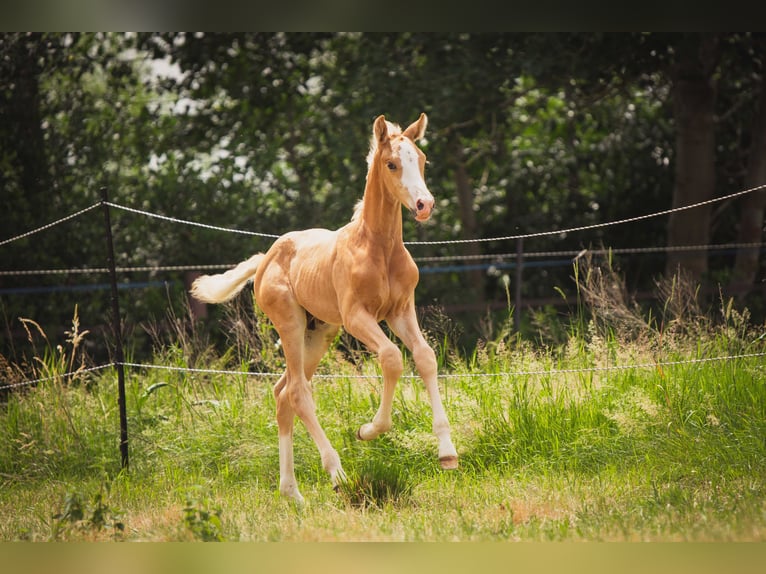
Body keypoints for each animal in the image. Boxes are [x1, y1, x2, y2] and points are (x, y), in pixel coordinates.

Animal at [190, 113, 458, 503]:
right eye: (391, 164)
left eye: (421, 160)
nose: (424, 205)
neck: (378, 247)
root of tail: (265, 258)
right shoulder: (356, 316)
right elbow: (392, 357)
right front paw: (369, 429)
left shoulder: (401, 311)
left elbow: (425, 358)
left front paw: (447, 452)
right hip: (290, 323)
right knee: (298, 393)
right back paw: (338, 475)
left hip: (319, 333)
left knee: (282, 393)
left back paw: (292, 493)